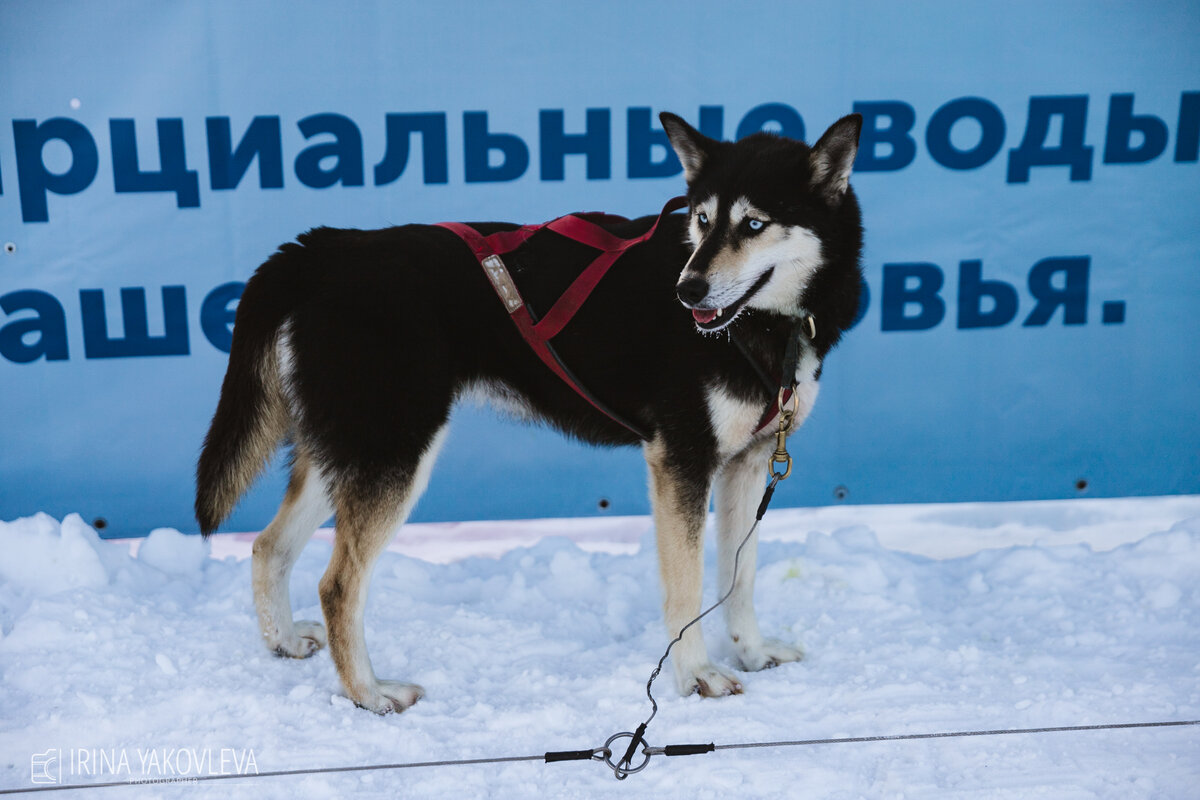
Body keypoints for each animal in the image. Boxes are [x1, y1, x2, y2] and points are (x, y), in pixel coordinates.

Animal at [201, 110, 868, 714]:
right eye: (702, 220)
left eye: (754, 223)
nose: (688, 290)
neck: (764, 330)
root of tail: (325, 248)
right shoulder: (682, 460)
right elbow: (686, 589)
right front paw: (697, 676)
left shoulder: (749, 462)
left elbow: (739, 577)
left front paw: (751, 654)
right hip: (394, 453)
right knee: (338, 586)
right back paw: (369, 694)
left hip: (350, 451)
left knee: (268, 547)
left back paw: (284, 642)